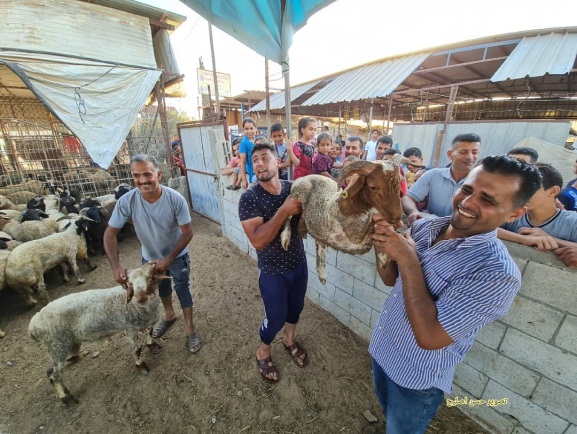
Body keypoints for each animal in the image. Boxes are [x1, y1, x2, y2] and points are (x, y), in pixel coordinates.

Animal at [28, 262, 169, 406]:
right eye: (130, 284)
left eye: (150, 278)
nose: (141, 298)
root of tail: (33, 326)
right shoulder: (129, 328)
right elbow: (137, 349)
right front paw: (141, 366)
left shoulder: (145, 322)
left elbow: (150, 332)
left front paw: (152, 345)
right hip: (56, 345)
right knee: (53, 375)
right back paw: (66, 398)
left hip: (66, 344)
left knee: (55, 373)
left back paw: (66, 391)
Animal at [280, 156, 418, 284]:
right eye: (372, 187)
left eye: (398, 184)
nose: (396, 217)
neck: (348, 206)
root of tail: (301, 178)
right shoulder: (354, 234)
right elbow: (371, 219)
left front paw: (384, 258)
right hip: (296, 195)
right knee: (288, 215)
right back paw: (285, 239)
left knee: (319, 243)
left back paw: (322, 274)